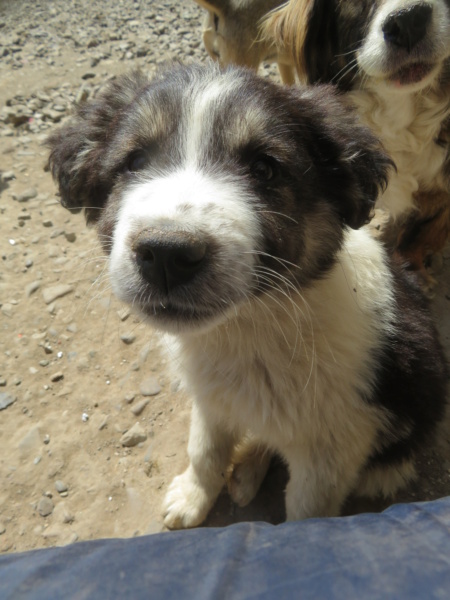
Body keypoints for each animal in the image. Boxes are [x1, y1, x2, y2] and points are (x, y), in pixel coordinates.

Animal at [47, 63, 448, 528]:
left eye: (265, 169)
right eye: (136, 161)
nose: (166, 254)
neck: (246, 330)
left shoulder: (331, 453)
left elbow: (308, 512)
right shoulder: (210, 401)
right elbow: (204, 450)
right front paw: (193, 496)